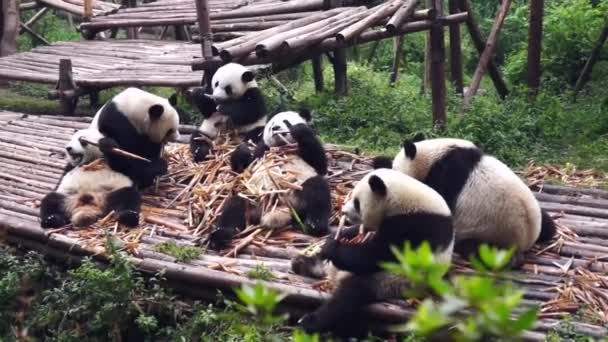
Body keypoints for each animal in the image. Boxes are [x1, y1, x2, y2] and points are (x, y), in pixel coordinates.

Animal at [208, 109, 332, 248]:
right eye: (272, 123)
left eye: (286, 122)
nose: (275, 128)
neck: (281, 147)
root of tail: (280, 207)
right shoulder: (262, 150)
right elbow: (244, 169)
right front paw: (243, 151)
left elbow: (320, 165)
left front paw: (299, 130)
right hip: (255, 198)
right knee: (235, 205)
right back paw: (219, 236)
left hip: (298, 192)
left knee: (317, 189)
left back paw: (315, 226)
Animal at [292, 168, 454, 336]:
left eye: (357, 203)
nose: (343, 211)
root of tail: (333, 276)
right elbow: (357, 233)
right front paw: (333, 239)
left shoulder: (418, 227)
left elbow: (378, 255)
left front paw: (332, 248)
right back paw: (303, 263)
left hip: (394, 282)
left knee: (353, 293)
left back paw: (310, 322)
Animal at [372, 136, 560, 264]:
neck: (433, 155)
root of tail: (528, 239)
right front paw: (380, 160)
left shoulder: (444, 174)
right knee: (549, 226)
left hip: (490, 234)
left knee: (476, 247)